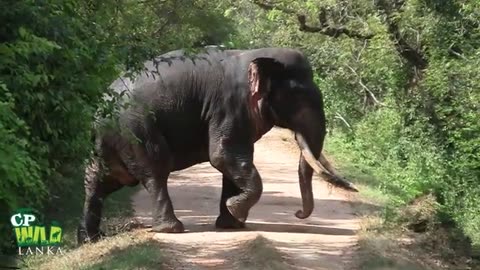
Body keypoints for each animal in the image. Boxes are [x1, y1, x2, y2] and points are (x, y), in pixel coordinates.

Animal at [77, 47, 358, 244]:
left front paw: (231, 223)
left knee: (100, 180)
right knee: (154, 171)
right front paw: (236, 210)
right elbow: (223, 156)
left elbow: (233, 161)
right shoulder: (229, 107)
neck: (256, 55)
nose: (298, 213)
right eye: (300, 96)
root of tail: (97, 112)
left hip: (111, 142)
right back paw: (172, 229)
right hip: (136, 130)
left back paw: (90, 238)